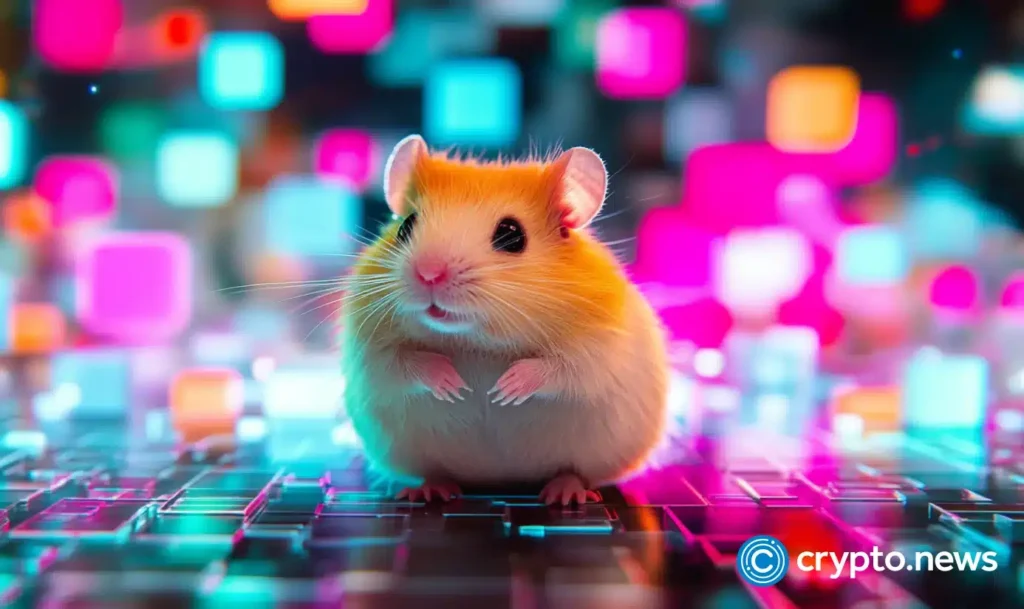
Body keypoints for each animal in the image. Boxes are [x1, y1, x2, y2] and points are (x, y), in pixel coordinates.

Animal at [341, 134, 669, 505]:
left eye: (511, 235)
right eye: (406, 226)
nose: (429, 274)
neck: (475, 342)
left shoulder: (600, 346)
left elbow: (561, 369)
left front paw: (504, 389)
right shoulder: (369, 347)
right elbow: (404, 362)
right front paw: (454, 384)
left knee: (574, 472)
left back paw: (565, 494)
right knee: (434, 471)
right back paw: (428, 490)